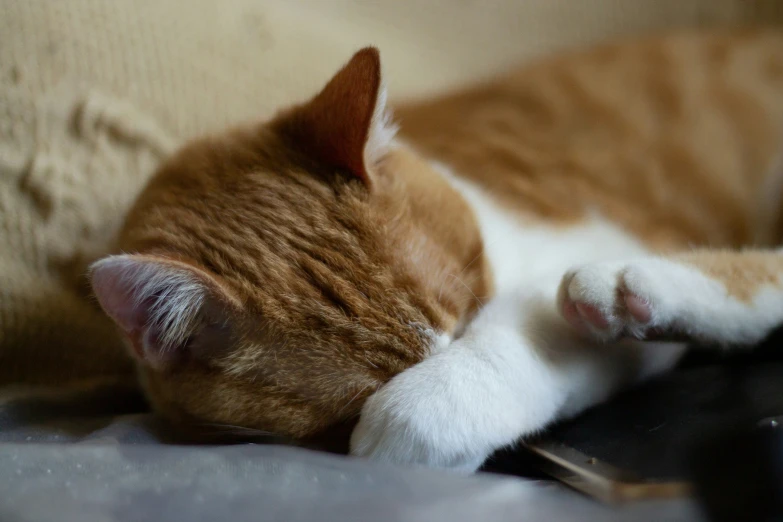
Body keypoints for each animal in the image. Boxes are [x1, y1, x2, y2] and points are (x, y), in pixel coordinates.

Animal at [89, 26, 783, 470]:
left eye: (469, 309)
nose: (446, 354)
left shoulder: (589, 239)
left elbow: (528, 329)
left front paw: (422, 411)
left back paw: (628, 287)